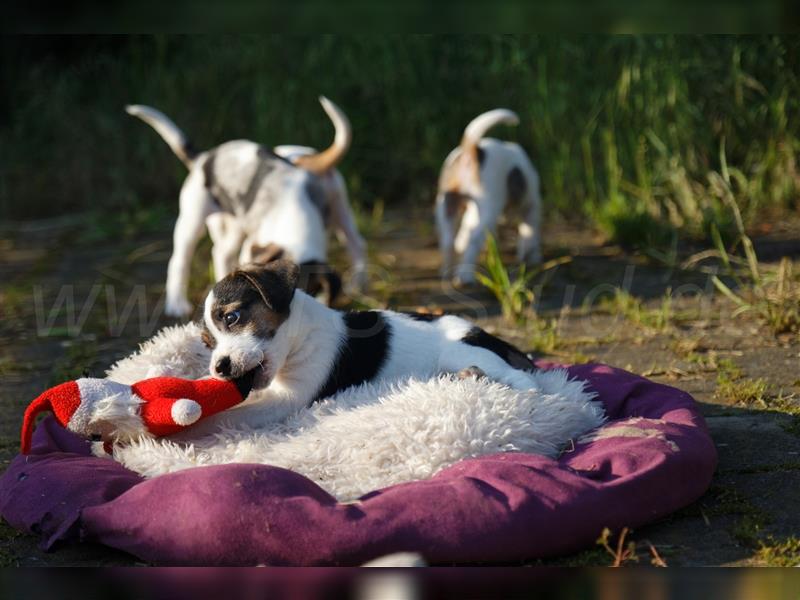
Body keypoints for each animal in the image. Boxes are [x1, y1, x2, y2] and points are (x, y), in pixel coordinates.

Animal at [126, 97, 368, 318]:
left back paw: (359, 284)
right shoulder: (254, 243)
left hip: (333, 210)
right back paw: (177, 302)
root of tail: (204, 158)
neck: (296, 221)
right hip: (193, 217)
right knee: (180, 260)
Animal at [200, 258, 540, 418]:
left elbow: (233, 416)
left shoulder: (288, 400)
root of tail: (488, 336)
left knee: (524, 380)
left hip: (461, 352)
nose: (220, 367)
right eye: (206, 343)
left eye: (231, 318)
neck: (301, 336)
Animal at [434, 109, 540, 286]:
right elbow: (530, 233)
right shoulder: (531, 205)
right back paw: (465, 276)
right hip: (489, 208)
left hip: (447, 204)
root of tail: (471, 150)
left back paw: (447, 271)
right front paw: (532, 258)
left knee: (448, 240)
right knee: (473, 240)